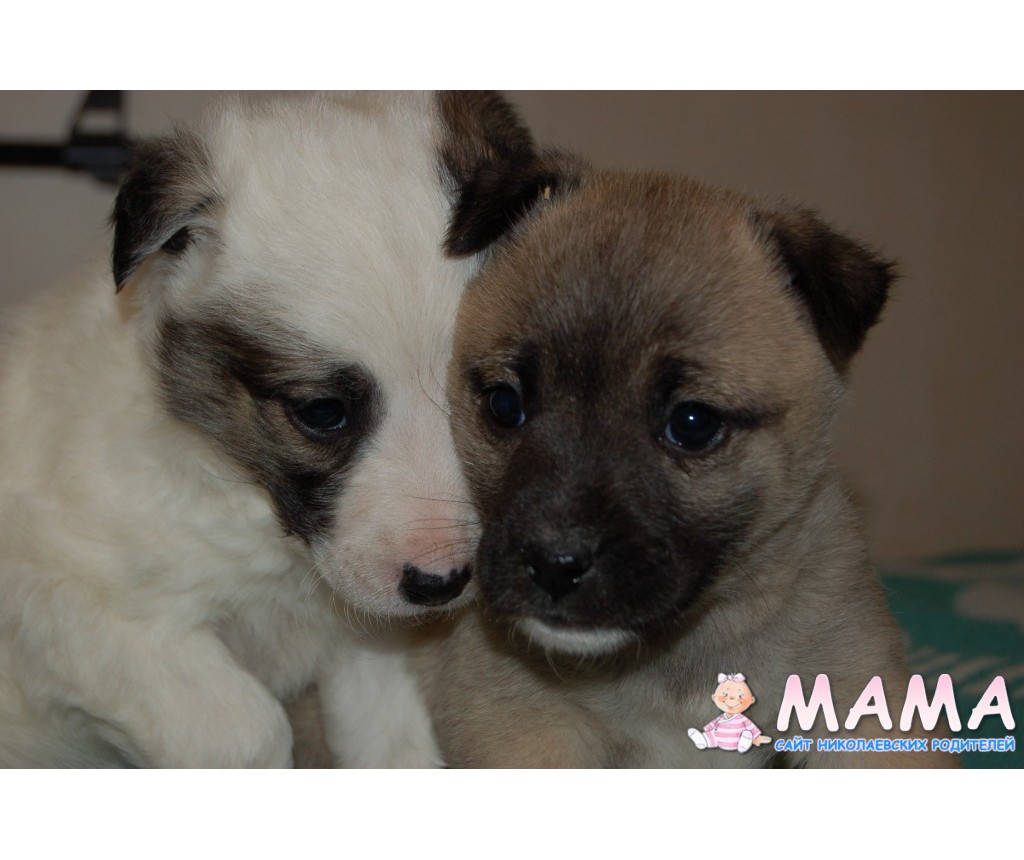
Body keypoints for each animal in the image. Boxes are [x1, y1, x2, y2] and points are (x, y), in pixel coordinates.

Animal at [0, 91, 539, 767]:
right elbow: (249, 731)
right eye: (322, 411)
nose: (441, 583)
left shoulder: (364, 641)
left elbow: (392, 743)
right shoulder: (77, 606)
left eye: (497, 402)